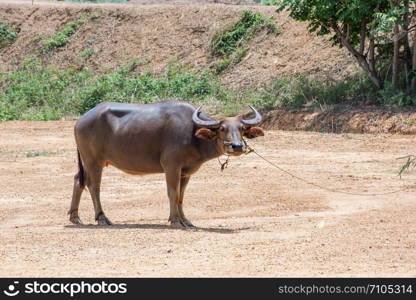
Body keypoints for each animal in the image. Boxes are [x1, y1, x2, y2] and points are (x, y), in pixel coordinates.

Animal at [68, 101, 264, 227]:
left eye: (241, 129)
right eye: (222, 129)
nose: (237, 146)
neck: (192, 135)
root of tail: (81, 120)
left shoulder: (186, 171)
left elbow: (181, 196)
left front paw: (186, 220)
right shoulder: (171, 166)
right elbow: (172, 193)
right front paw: (175, 220)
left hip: (88, 161)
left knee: (78, 180)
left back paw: (75, 217)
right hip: (93, 160)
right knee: (94, 186)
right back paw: (102, 218)